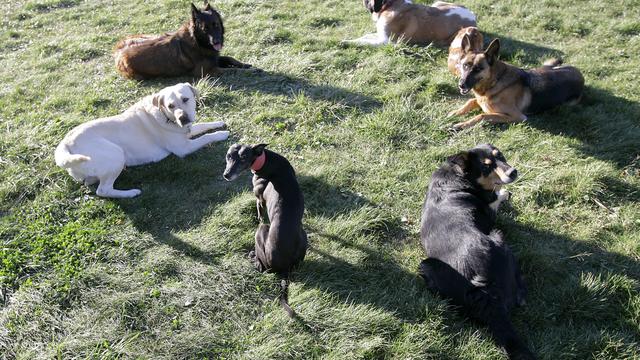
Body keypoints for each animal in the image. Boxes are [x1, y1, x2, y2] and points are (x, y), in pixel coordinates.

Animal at [55, 83, 230, 198]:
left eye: (186, 99)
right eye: (170, 106)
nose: (183, 118)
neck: (166, 117)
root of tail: (65, 143)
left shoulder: (186, 131)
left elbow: (202, 126)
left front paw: (218, 123)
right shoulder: (183, 148)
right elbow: (206, 136)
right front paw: (222, 134)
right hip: (116, 154)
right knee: (103, 190)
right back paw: (131, 193)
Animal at [222, 143, 308, 318]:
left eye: (244, 158)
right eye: (228, 156)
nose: (226, 175)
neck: (265, 159)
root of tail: (284, 268)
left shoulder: (259, 200)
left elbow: (260, 216)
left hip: (261, 233)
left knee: (262, 268)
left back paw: (252, 256)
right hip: (304, 237)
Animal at [344, 0, 476, 47]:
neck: (391, 4)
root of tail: (473, 16)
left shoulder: (386, 41)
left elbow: (365, 42)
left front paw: (347, 42)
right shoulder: (381, 35)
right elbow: (366, 36)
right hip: (437, 3)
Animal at [420, 144, 536, 360]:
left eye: (501, 155)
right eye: (486, 167)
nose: (513, 172)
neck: (460, 175)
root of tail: (484, 289)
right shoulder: (492, 214)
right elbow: (497, 199)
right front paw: (504, 193)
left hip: (427, 266)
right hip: (499, 238)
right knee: (520, 293)